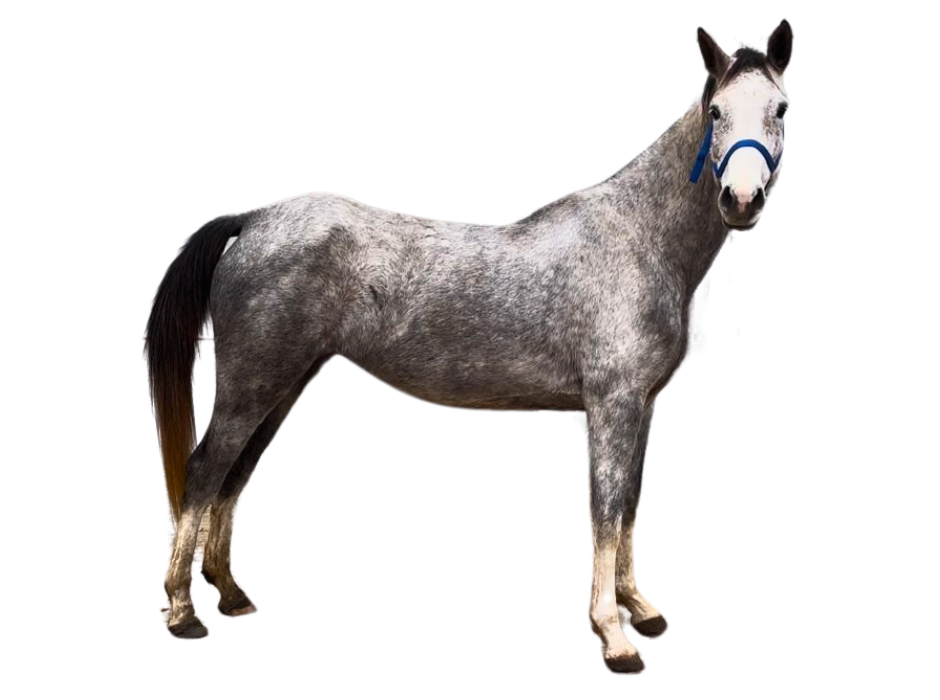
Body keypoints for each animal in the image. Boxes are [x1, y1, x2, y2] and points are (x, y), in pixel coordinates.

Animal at [142, 20, 793, 675]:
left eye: (781, 109)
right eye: (716, 111)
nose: (741, 200)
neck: (641, 239)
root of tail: (252, 220)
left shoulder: (644, 407)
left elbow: (630, 502)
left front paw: (641, 610)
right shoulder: (612, 406)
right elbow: (606, 512)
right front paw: (614, 635)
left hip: (283, 386)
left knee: (235, 476)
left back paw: (232, 595)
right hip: (251, 387)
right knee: (205, 473)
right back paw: (183, 614)